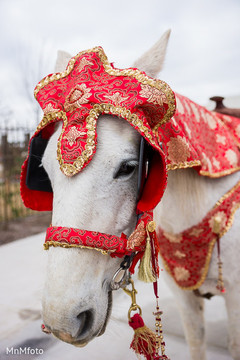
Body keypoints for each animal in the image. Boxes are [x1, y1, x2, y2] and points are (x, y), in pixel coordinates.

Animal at [39, 32, 240, 358]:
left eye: (128, 167)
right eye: (45, 170)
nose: (62, 321)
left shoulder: (235, 294)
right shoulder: (184, 295)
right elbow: (196, 340)